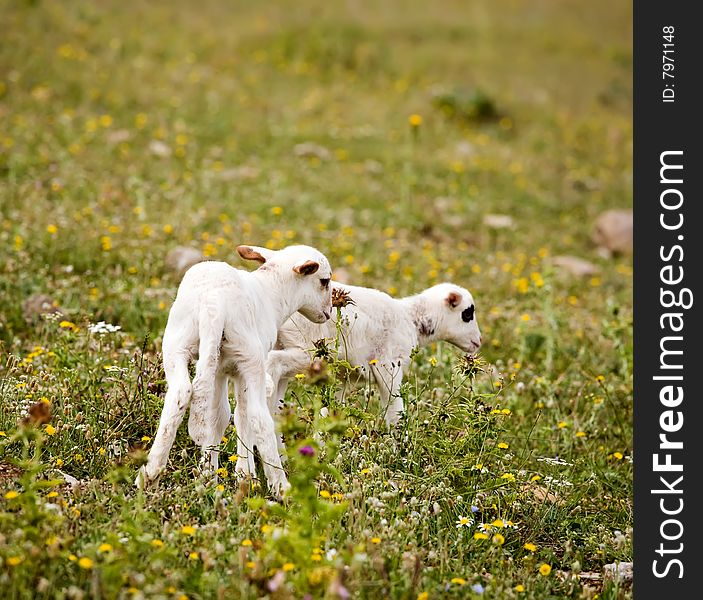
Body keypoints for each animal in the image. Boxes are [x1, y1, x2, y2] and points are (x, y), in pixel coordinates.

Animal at [140, 244, 336, 496]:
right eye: (324, 281)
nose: (328, 312)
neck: (272, 293)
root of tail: (213, 301)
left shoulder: (219, 369)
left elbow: (218, 417)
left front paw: (209, 474)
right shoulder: (239, 370)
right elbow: (242, 417)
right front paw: (246, 474)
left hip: (177, 341)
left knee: (180, 393)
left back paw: (150, 475)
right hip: (249, 357)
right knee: (258, 417)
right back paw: (281, 487)